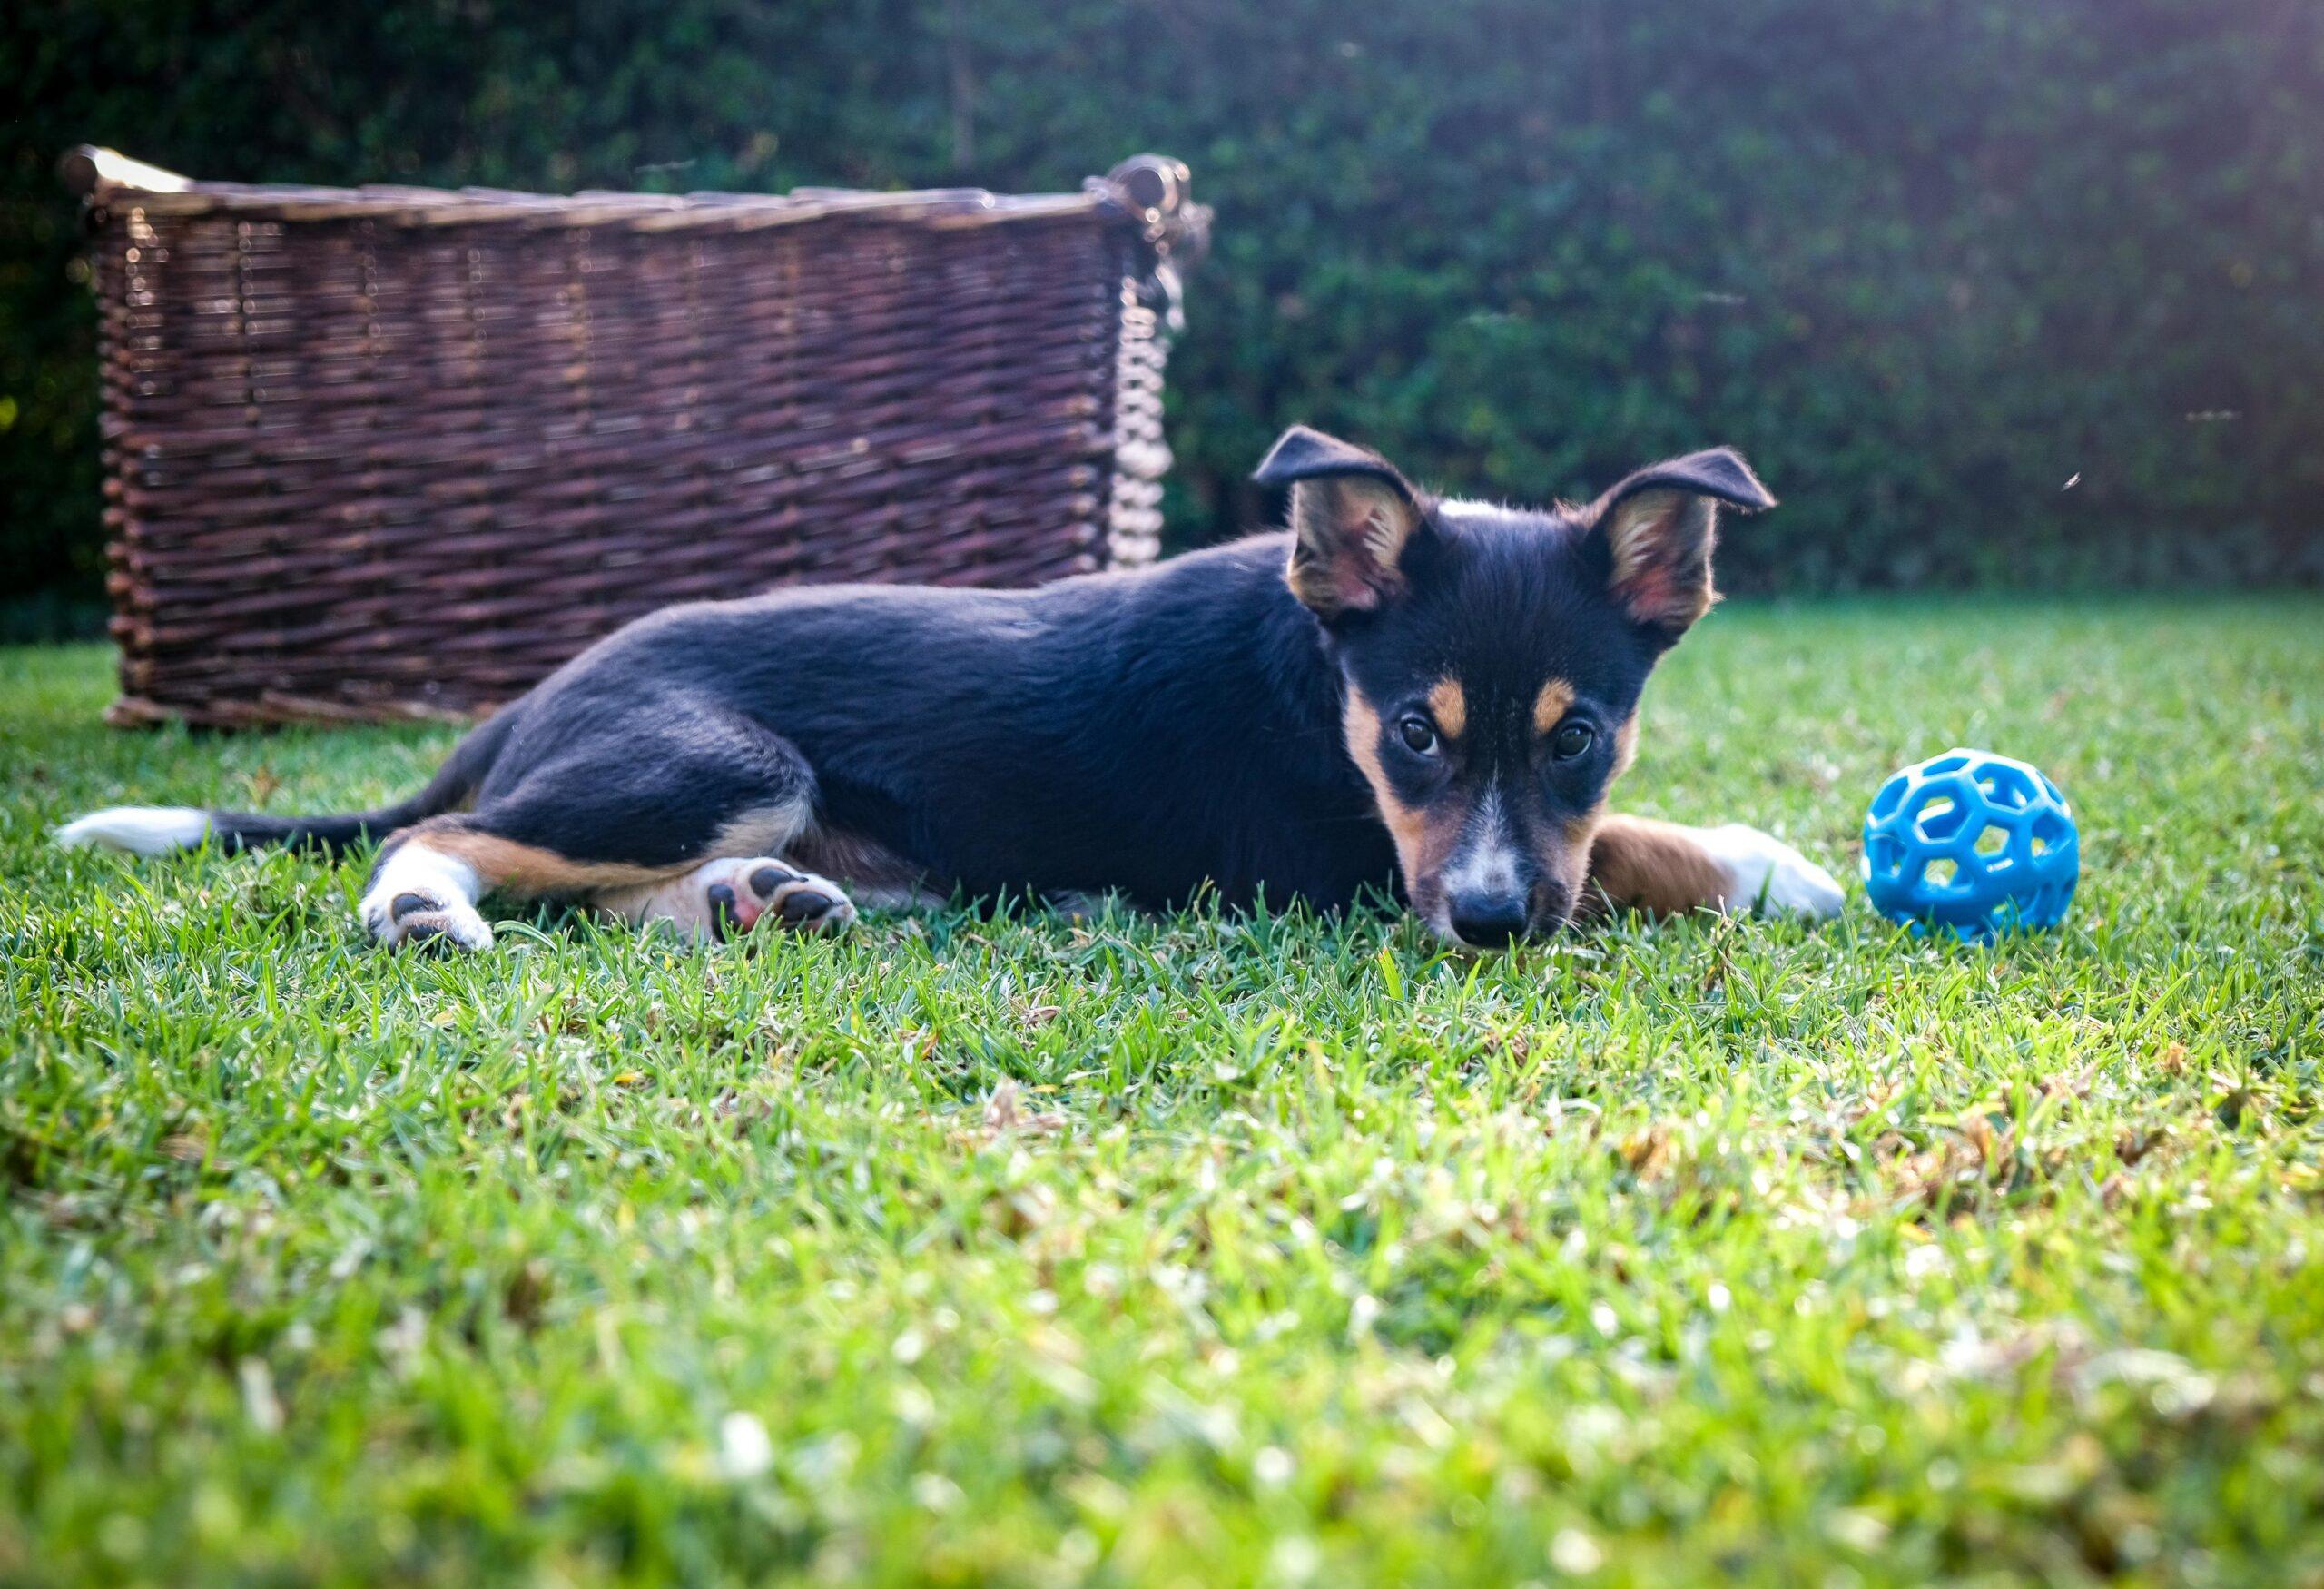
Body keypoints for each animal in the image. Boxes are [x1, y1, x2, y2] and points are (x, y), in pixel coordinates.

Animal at [58, 425, 1849, 943]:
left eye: (1581, 734)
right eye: (1413, 732)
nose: (1486, 927)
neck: (1311, 672)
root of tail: (542, 689)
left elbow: (1600, 840)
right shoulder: (1335, 858)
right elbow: (1626, 855)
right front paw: (1775, 863)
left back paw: (764, 905)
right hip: (717, 758)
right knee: (442, 839)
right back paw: (426, 909)